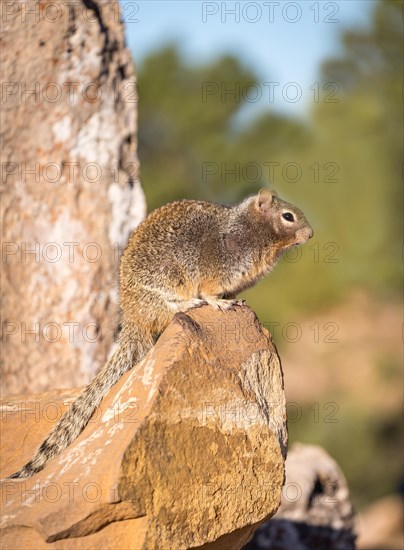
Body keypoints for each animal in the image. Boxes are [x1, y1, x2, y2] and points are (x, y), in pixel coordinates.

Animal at [8, 189, 312, 478]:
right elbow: (210, 291)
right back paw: (189, 304)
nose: (310, 234)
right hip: (165, 285)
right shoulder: (219, 269)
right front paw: (220, 303)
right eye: (288, 216)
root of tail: (133, 318)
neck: (250, 230)